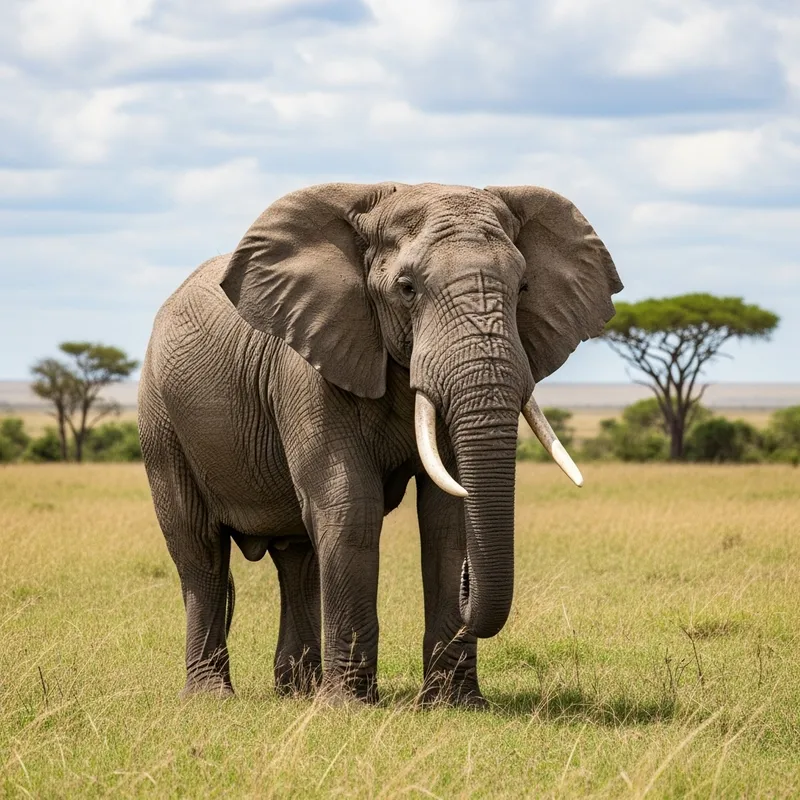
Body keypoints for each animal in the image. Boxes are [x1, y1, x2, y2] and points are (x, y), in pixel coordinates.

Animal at [138, 181, 622, 707]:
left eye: (524, 288)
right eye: (407, 288)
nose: (468, 581)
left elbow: (447, 514)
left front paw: (454, 705)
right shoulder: (307, 365)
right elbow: (349, 503)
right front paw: (347, 709)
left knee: (297, 557)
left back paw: (299, 693)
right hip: (160, 417)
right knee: (199, 549)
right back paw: (213, 698)